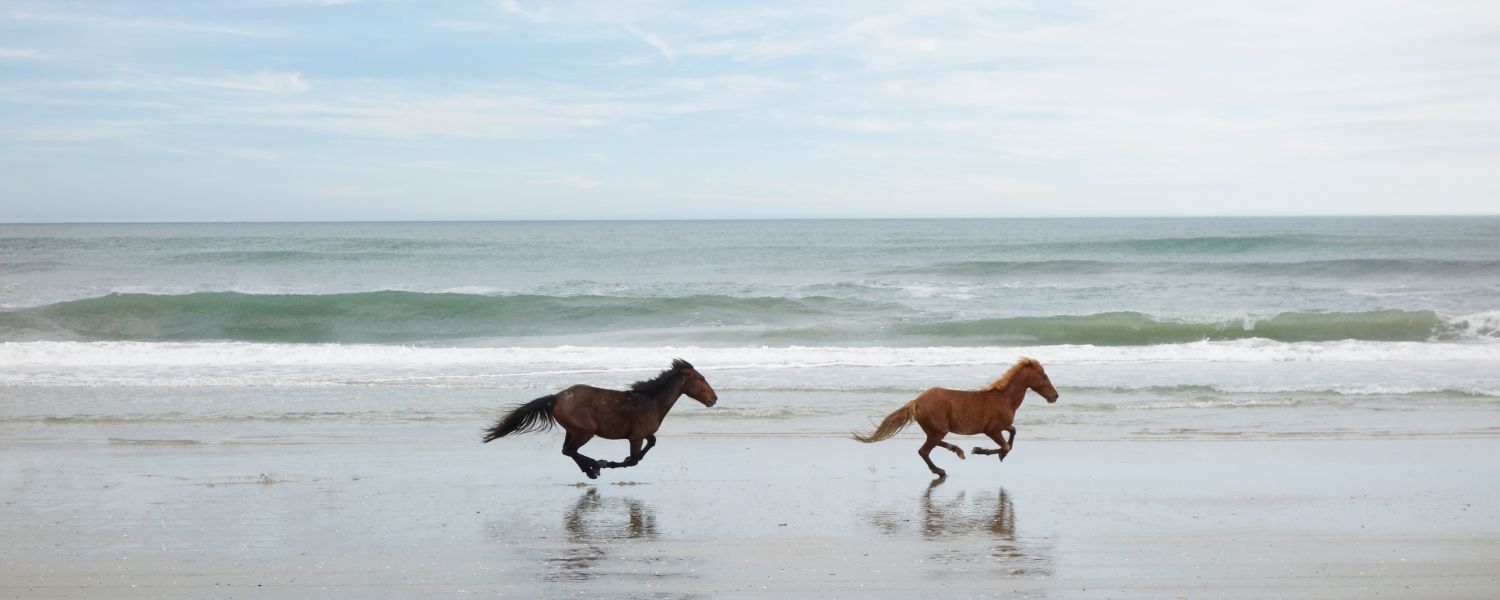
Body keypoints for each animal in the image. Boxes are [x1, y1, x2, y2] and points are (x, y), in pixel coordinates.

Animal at [480, 358, 714, 480]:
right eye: (701, 379)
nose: (714, 398)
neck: (651, 401)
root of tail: (556, 397)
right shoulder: (636, 436)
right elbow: (634, 460)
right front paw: (609, 463)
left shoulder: (645, 434)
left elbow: (650, 446)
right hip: (585, 431)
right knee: (570, 450)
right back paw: (595, 466)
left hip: (573, 431)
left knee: (567, 451)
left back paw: (591, 470)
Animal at [858, 357, 1056, 477]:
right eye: (1044, 375)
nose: (1055, 396)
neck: (1004, 398)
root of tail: (917, 401)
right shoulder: (992, 431)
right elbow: (1006, 445)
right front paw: (979, 450)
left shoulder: (1001, 427)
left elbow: (1013, 433)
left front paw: (997, 454)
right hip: (938, 430)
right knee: (924, 451)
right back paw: (940, 470)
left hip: (936, 430)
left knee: (933, 445)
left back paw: (957, 451)